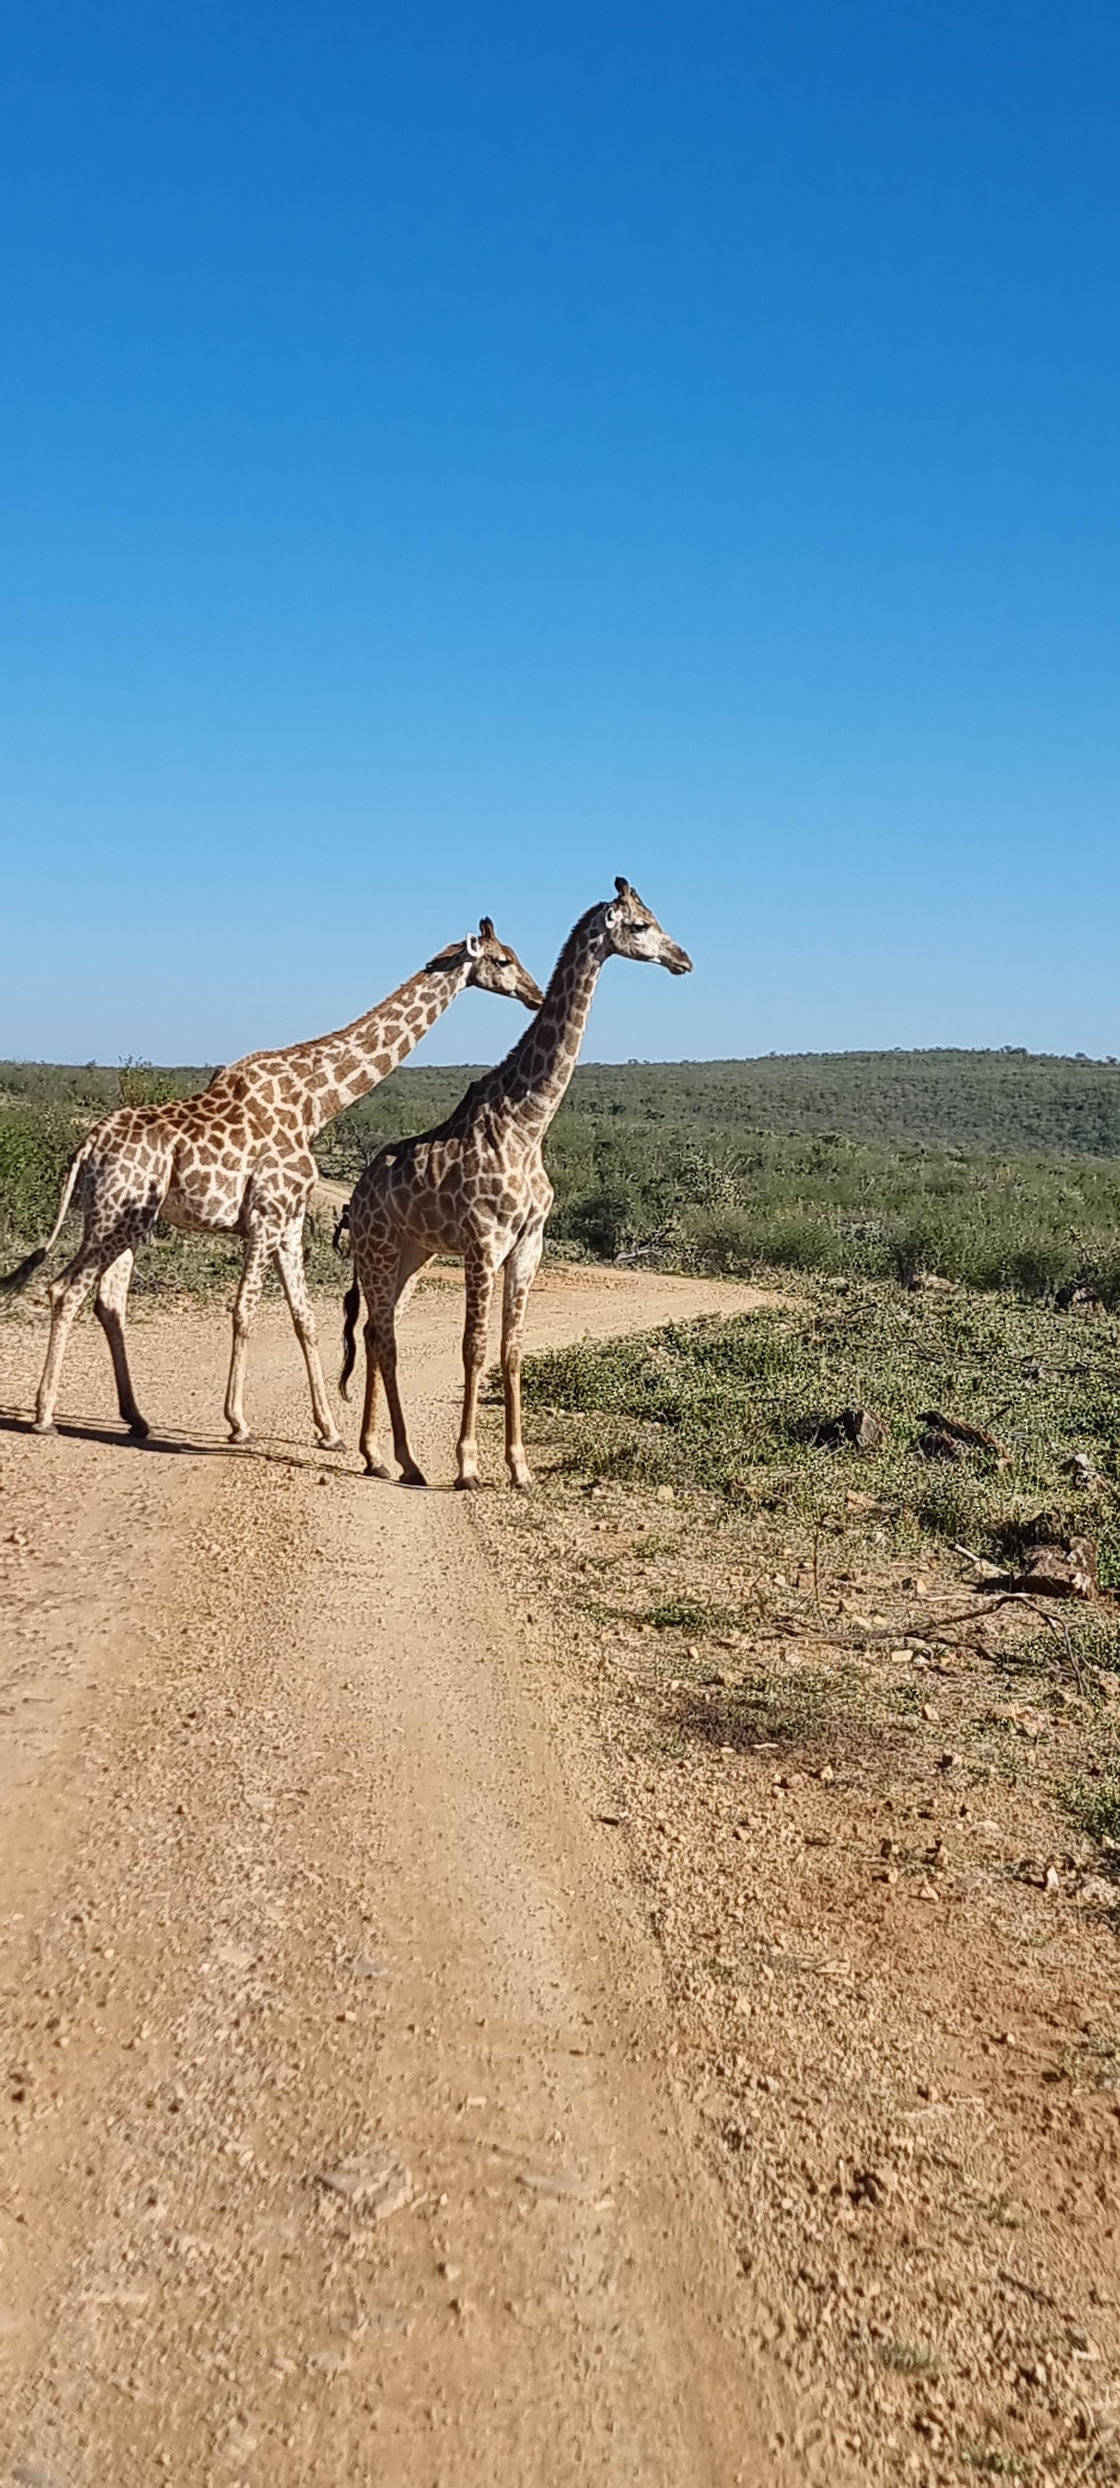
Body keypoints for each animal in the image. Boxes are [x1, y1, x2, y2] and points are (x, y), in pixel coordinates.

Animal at [4, 923, 543, 1447]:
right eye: (502, 960)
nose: (535, 994)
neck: (317, 1103)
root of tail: (89, 1144)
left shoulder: (289, 1220)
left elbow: (304, 1317)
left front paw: (330, 1432)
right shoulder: (266, 1215)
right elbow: (244, 1309)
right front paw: (238, 1422)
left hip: (123, 1218)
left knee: (108, 1301)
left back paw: (136, 1418)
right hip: (117, 1215)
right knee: (66, 1289)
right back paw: (45, 1415)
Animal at [338, 879, 692, 1489]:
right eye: (641, 925)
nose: (684, 960)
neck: (528, 1125)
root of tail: (355, 1200)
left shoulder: (529, 1245)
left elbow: (512, 1350)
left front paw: (520, 1466)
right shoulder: (484, 1242)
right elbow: (474, 1349)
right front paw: (467, 1466)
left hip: (411, 1255)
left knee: (379, 1334)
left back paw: (387, 1457)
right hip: (378, 1250)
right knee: (382, 1336)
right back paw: (400, 1459)